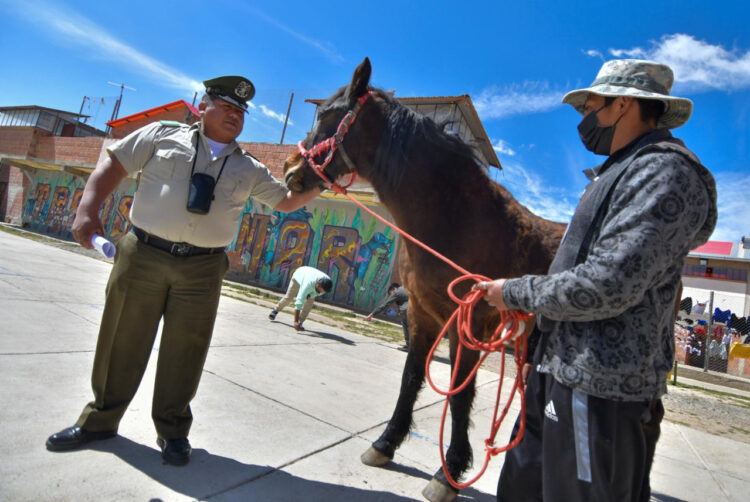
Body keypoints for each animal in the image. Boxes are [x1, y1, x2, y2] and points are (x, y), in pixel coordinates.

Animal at [284, 57, 565, 502]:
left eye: (329, 116)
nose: (291, 170)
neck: (457, 218)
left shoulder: (470, 324)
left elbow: (460, 394)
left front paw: (448, 473)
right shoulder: (422, 315)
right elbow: (412, 377)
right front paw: (385, 444)